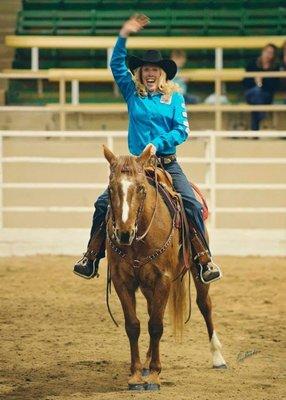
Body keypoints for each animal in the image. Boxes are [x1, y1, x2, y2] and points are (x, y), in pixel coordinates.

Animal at [104, 145, 227, 390]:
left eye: (141, 188)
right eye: (111, 188)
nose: (124, 233)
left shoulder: (163, 279)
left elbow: (156, 326)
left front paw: (153, 376)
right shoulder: (123, 281)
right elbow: (133, 325)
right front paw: (136, 375)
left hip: (197, 273)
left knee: (204, 305)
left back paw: (218, 357)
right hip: (147, 286)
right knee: (152, 310)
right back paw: (146, 362)